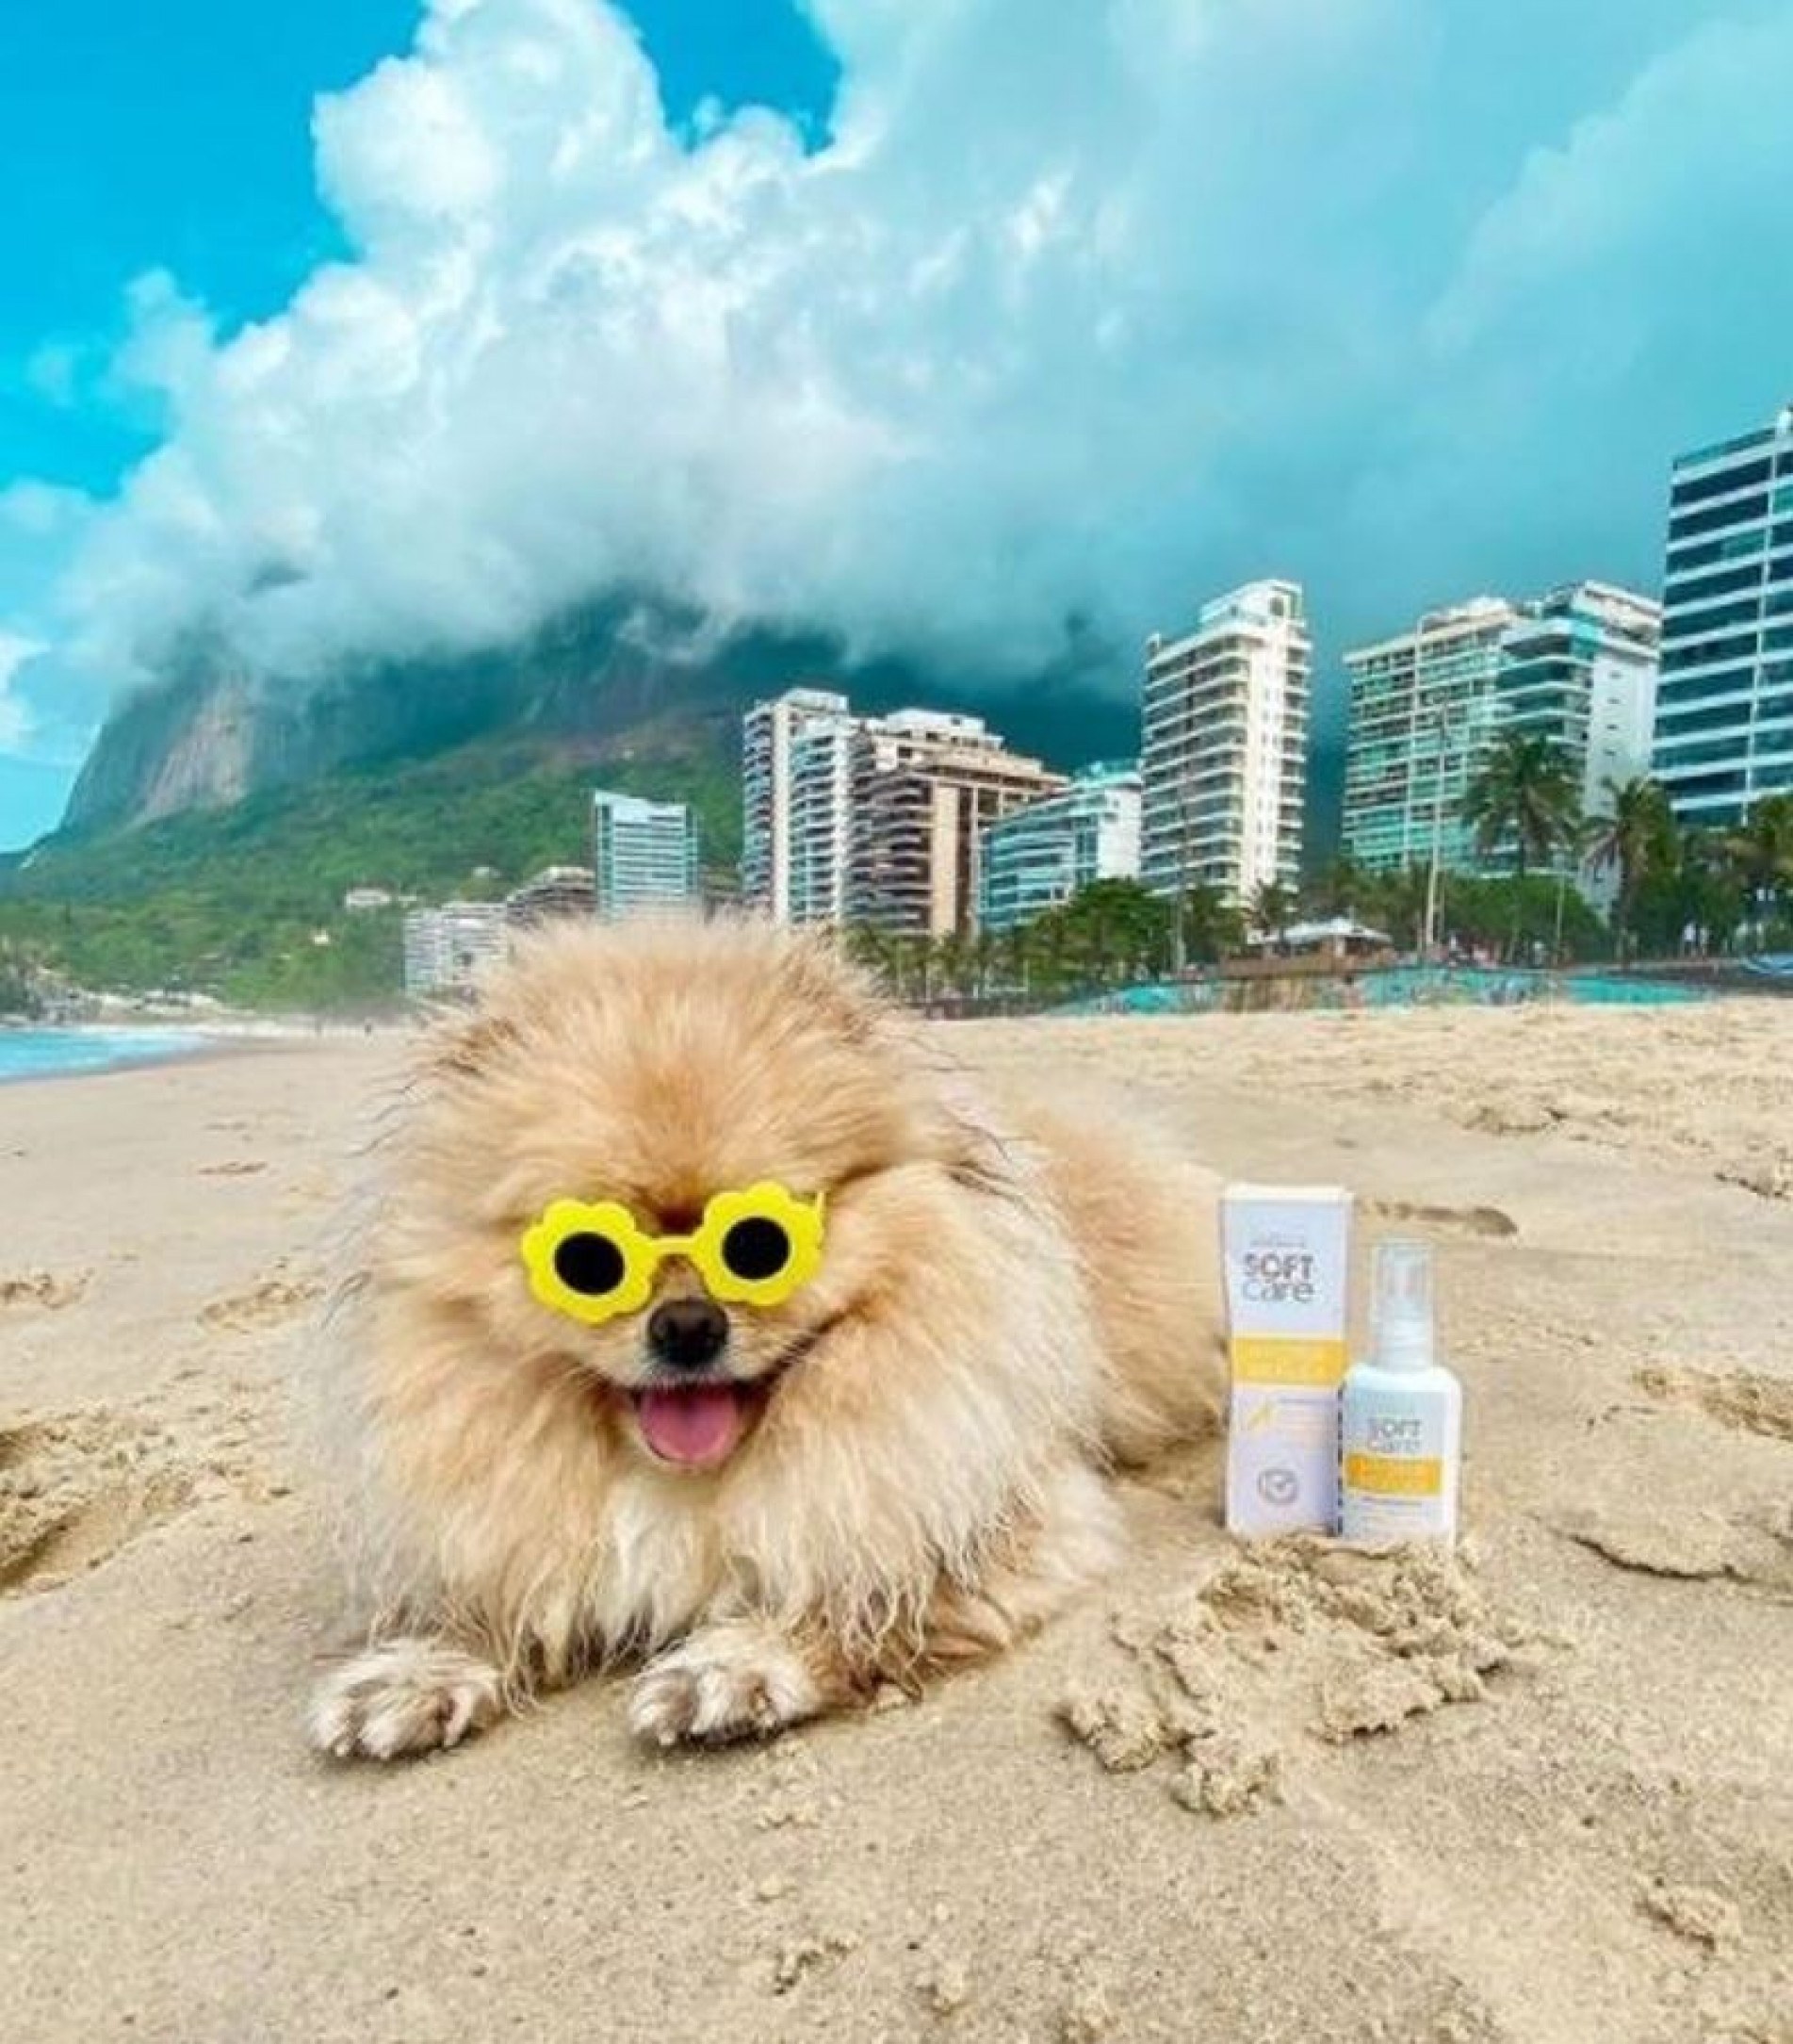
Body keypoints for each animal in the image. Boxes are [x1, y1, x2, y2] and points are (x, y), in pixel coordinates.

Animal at [308, 915, 1226, 1758]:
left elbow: (861, 1587)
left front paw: (736, 1664)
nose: (687, 1324)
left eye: (759, 1245)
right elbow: (499, 1594)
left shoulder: (1007, 1517)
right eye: (587, 1260)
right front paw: (421, 1667)